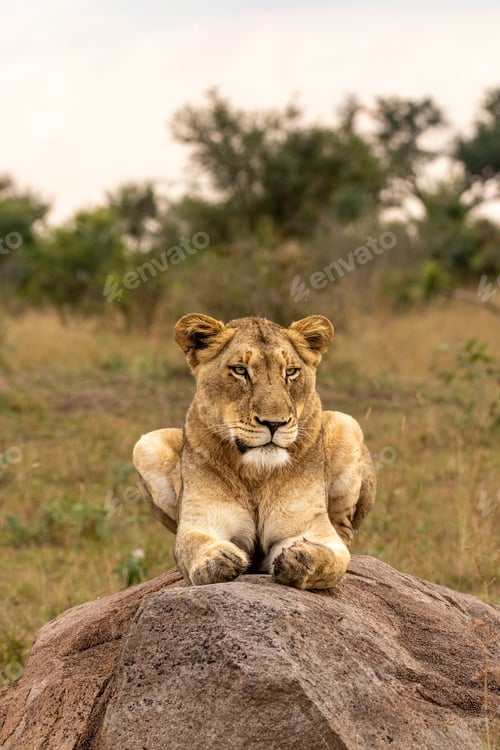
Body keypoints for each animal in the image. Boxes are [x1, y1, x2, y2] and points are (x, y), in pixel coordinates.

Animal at [133, 313, 376, 590]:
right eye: (240, 370)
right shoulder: (200, 519)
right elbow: (192, 543)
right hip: (146, 444)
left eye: (290, 372)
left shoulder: (309, 525)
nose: (274, 423)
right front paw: (217, 560)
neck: (256, 473)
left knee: (345, 532)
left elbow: (335, 560)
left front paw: (303, 558)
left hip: (348, 423)